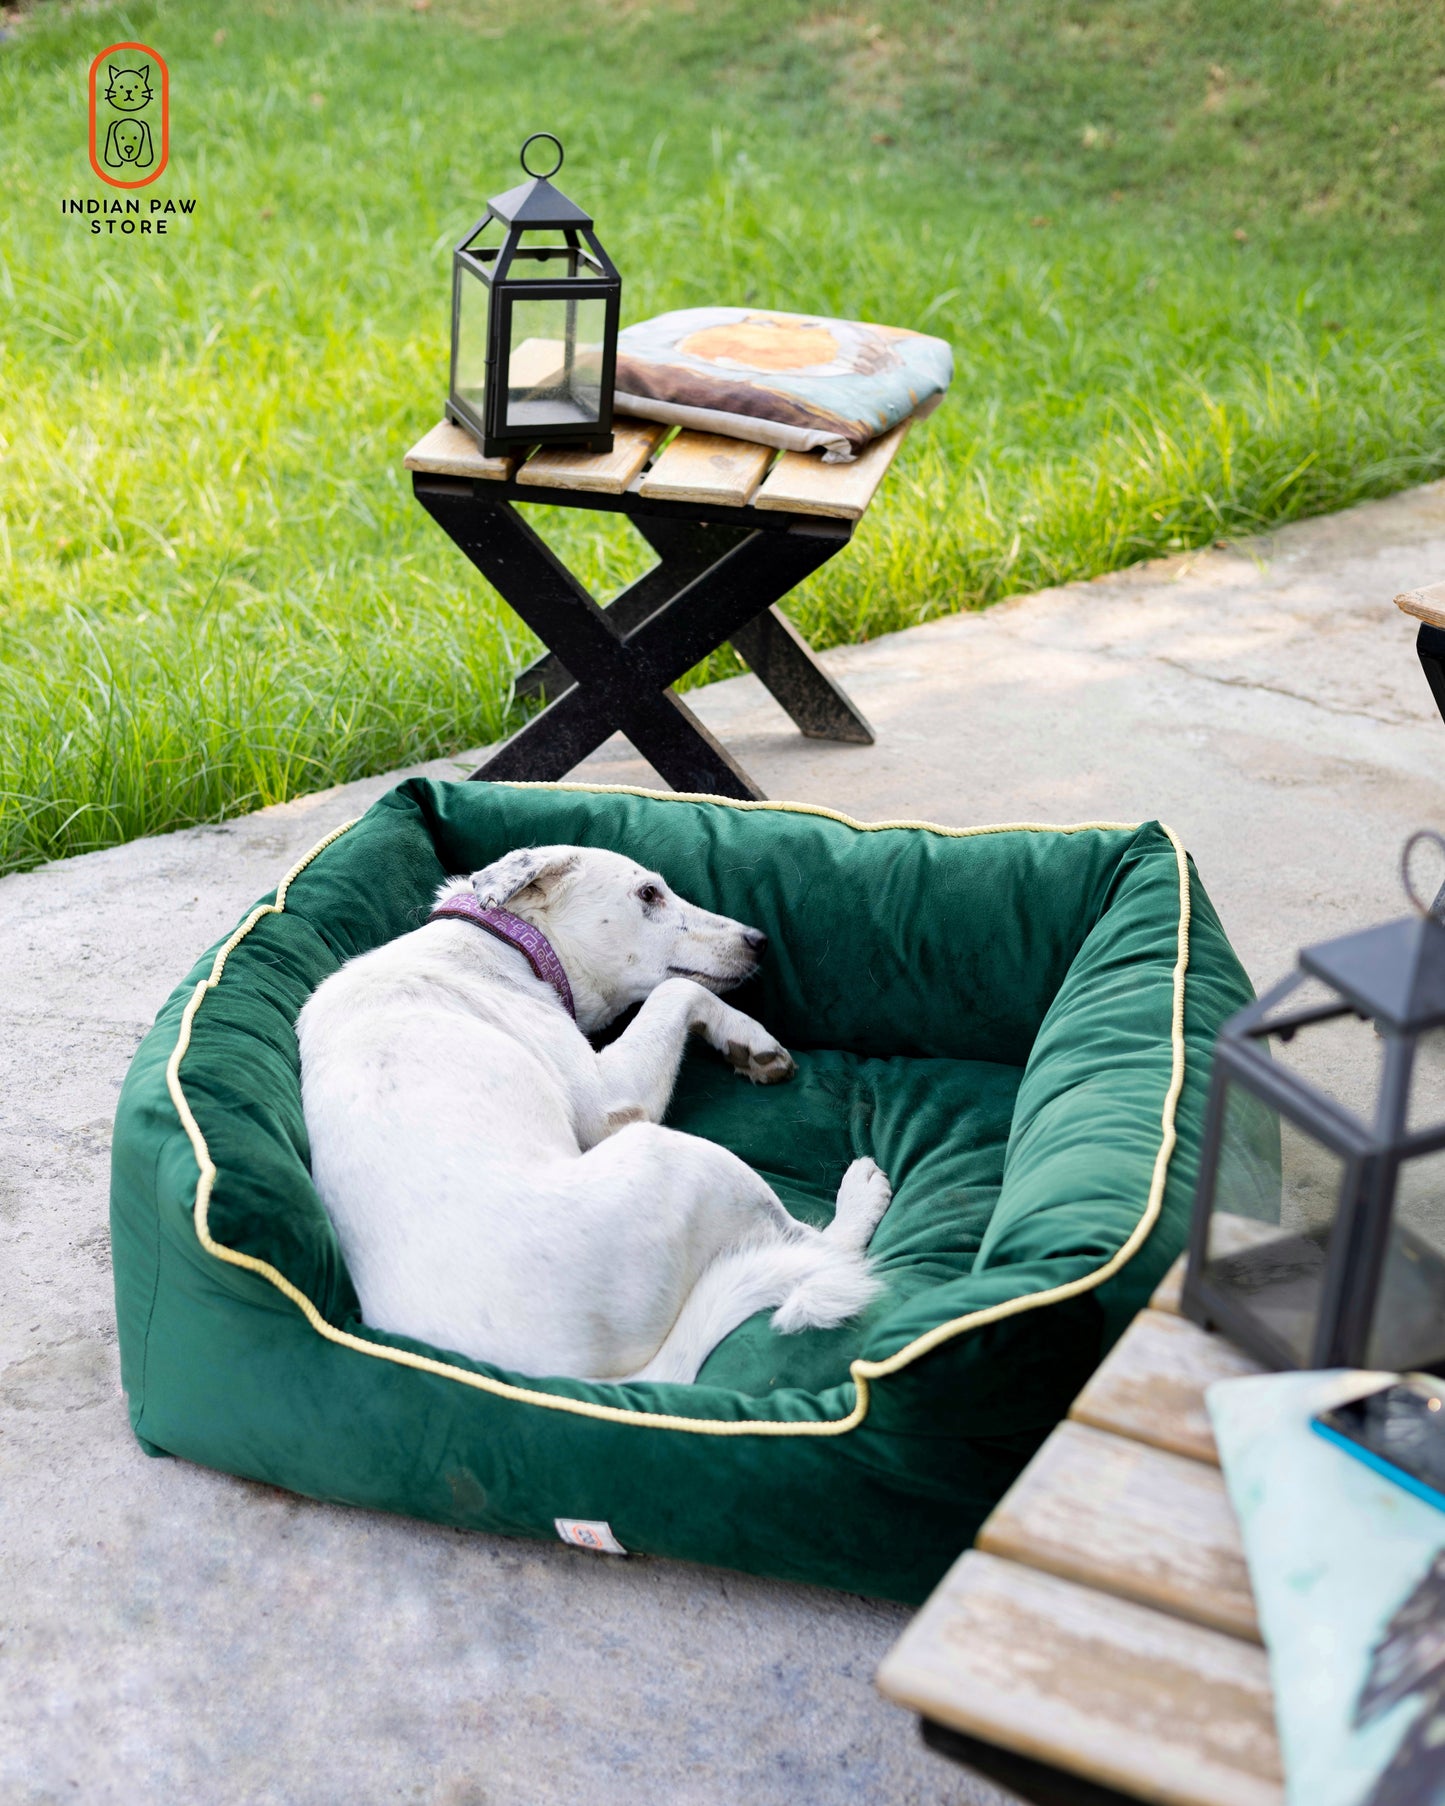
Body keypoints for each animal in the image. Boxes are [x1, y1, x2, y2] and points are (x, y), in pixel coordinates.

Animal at [296, 841, 892, 1379]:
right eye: (648, 893)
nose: (760, 941)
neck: (507, 942)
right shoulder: (609, 1099)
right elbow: (679, 991)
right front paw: (751, 1036)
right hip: (685, 1159)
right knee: (820, 1249)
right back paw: (860, 1196)